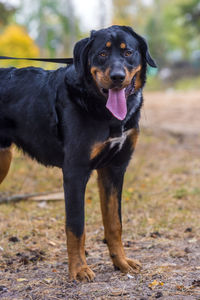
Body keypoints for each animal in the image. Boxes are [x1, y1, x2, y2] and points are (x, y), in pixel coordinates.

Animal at [0, 25, 156, 282]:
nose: (117, 77)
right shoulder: (75, 171)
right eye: (102, 54)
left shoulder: (114, 169)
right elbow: (76, 226)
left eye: (128, 52)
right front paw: (79, 269)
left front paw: (121, 263)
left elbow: (114, 223)